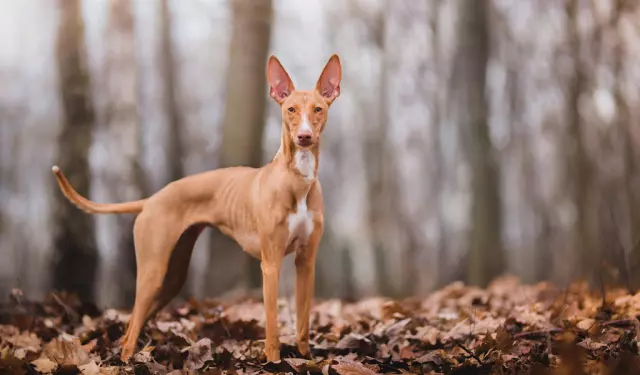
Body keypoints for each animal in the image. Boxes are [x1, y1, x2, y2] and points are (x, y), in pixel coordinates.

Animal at [52, 54, 342, 362]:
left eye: (318, 109)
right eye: (290, 110)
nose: (304, 137)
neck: (297, 180)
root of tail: (152, 199)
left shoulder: (306, 262)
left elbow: (303, 324)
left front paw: (305, 359)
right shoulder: (271, 264)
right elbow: (273, 329)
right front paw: (274, 362)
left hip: (172, 278)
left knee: (131, 326)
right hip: (153, 273)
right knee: (130, 332)